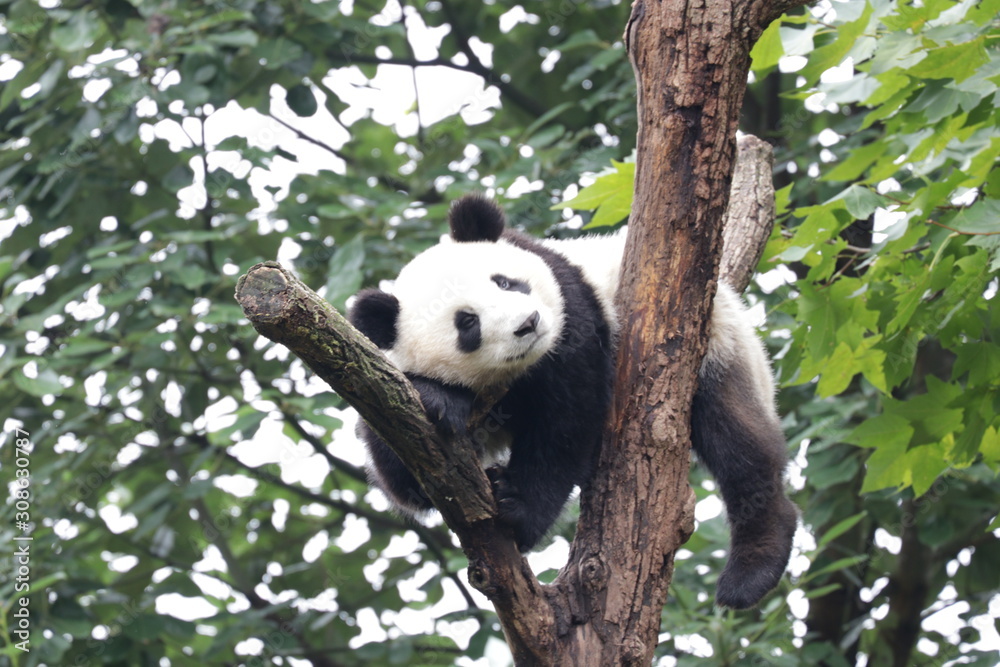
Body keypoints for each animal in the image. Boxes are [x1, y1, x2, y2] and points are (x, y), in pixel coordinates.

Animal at [348, 193, 798, 609]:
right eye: (467, 323)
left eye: (505, 282)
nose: (528, 324)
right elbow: (406, 477)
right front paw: (440, 399)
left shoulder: (571, 309)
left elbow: (567, 420)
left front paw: (519, 509)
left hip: (718, 344)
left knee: (738, 444)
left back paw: (752, 570)